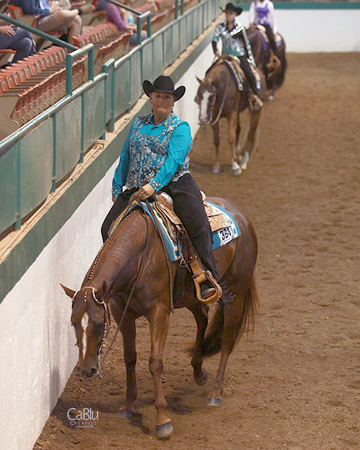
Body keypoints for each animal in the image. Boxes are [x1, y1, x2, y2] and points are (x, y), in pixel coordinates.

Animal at [62, 197, 258, 440]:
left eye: (99, 324)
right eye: (73, 323)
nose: (86, 370)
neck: (140, 255)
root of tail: (241, 216)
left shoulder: (159, 313)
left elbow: (155, 362)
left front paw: (162, 420)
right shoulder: (122, 312)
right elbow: (130, 357)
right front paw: (128, 405)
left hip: (236, 294)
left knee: (227, 341)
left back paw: (215, 392)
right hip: (192, 296)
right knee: (202, 318)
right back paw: (198, 371)